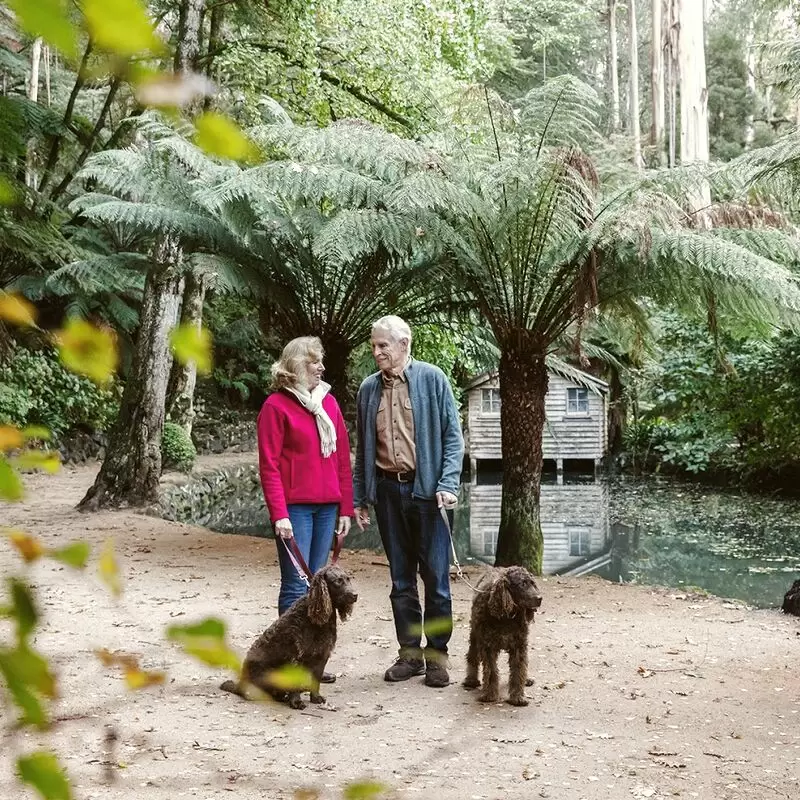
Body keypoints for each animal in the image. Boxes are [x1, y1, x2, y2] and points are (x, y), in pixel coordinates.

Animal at [219, 564, 356, 708]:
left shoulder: (322, 656)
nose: (355, 595)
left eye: (348, 579)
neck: (315, 620)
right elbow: (294, 684)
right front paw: (296, 702)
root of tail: (240, 684)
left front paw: (316, 698)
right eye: (338, 582)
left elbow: (316, 680)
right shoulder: (295, 657)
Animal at [462, 564, 544, 704]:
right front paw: (490, 695)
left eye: (533, 583)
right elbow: (491, 672)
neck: (506, 616)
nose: (539, 598)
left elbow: (518, 670)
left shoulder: (519, 646)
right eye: (522, 584)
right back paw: (471, 680)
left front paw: (517, 697)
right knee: (472, 656)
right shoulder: (488, 647)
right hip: (474, 635)